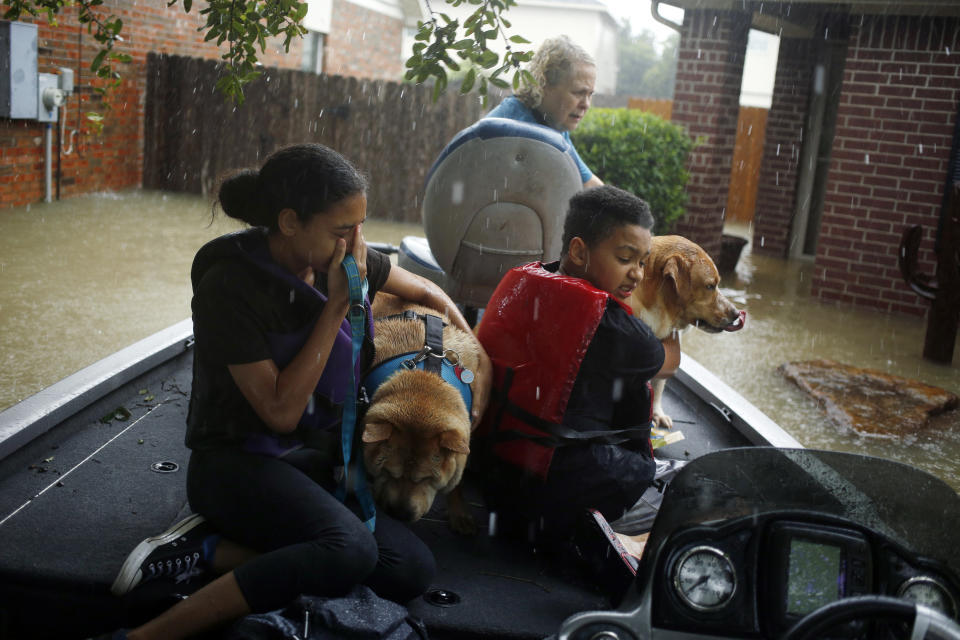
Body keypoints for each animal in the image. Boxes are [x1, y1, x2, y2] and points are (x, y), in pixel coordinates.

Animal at [360, 292, 480, 528]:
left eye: (427, 479)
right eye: (387, 471)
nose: (399, 513)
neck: (428, 371)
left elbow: (459, 476)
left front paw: (460, 512)